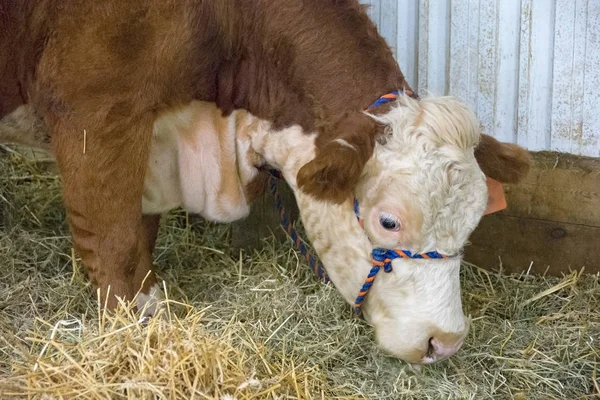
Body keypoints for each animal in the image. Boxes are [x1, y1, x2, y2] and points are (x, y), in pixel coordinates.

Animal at [2, 0, 532, 364]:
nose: (445, 341)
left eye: (472, 223)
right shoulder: (96, 111)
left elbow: (139, 230)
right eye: (388, 221)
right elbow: (114, 239)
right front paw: (131, 327)